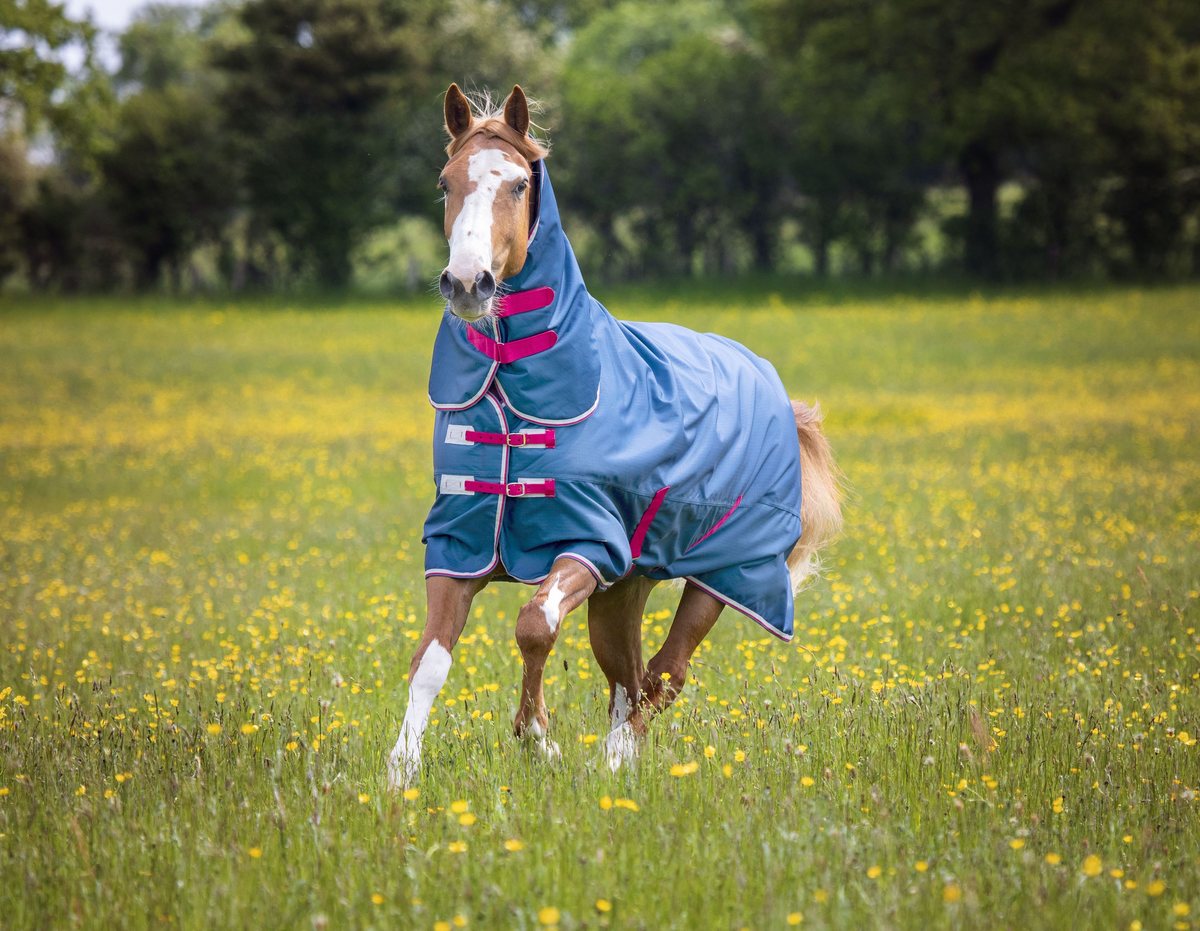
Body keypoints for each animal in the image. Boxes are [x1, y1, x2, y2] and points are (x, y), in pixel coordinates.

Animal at [387, 84, 842, 788]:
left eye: (518, 184)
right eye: (445, 183)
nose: (467, 284)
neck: (514, 395)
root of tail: (768, 379)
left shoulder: (584, 544)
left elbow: (534, 624)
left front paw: (537, 739)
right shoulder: (460, 544)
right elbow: (430, 657)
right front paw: (401, 770)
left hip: (724, 574)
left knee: (664, 674)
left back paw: (613, 761)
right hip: (625, 589)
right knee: (628, 677)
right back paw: (617, 755)